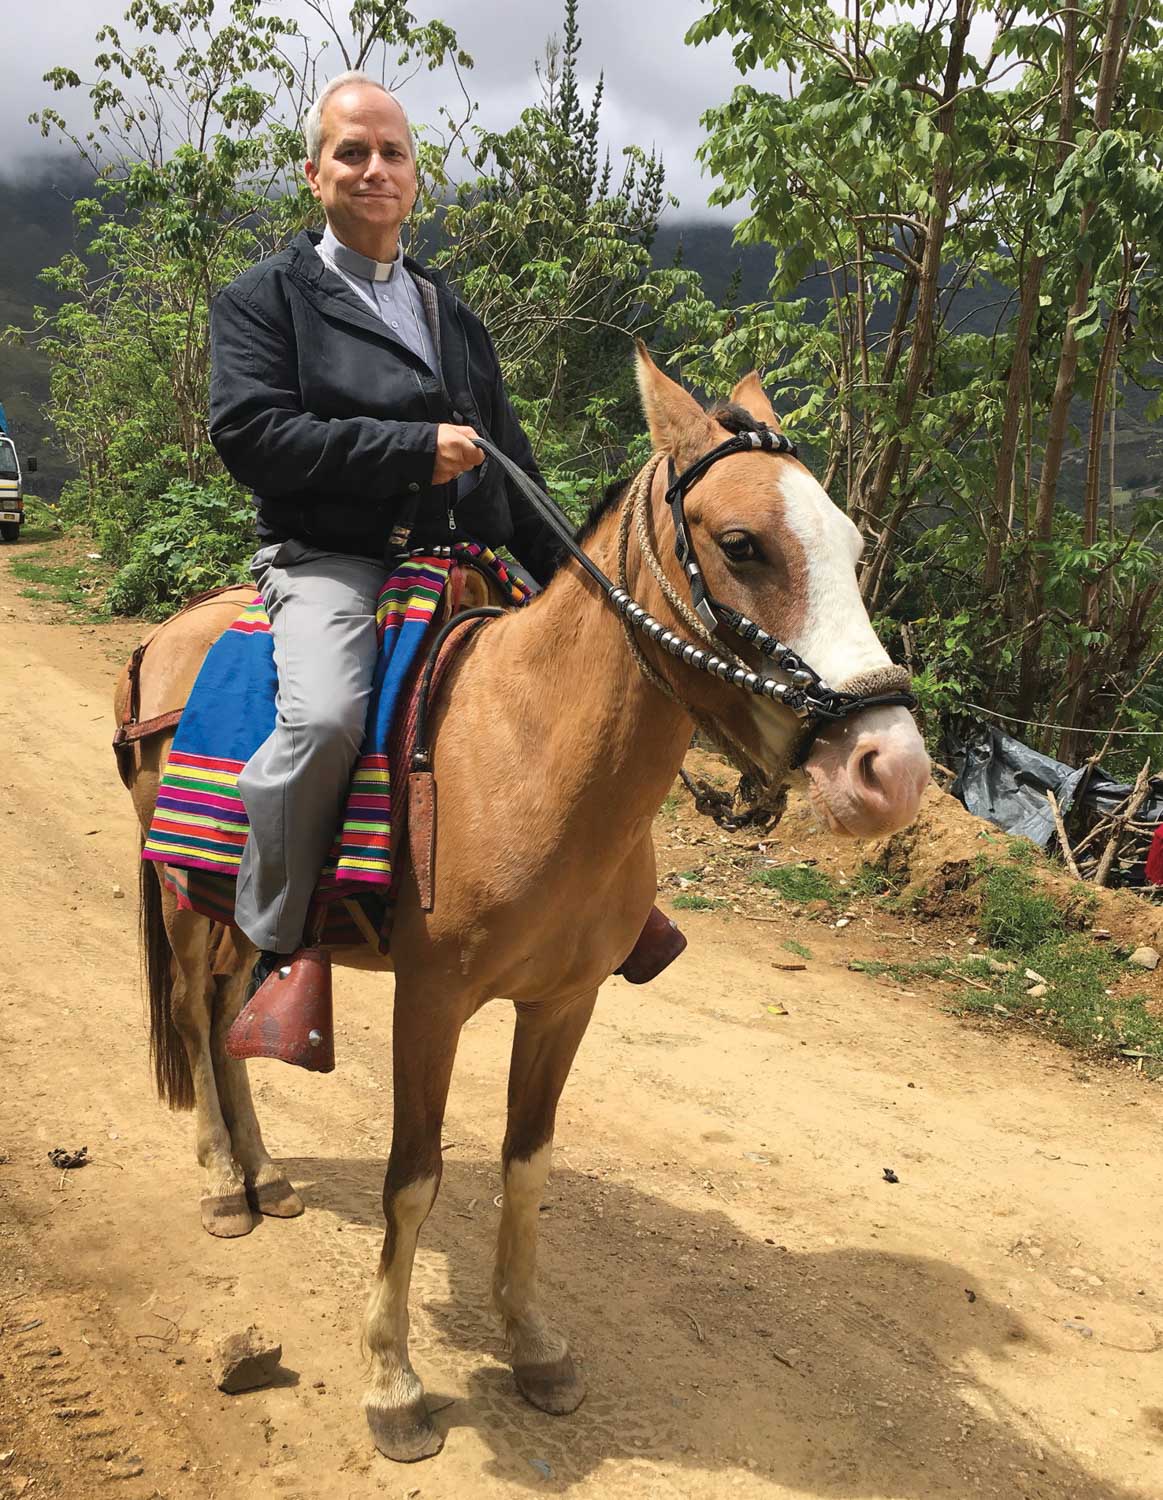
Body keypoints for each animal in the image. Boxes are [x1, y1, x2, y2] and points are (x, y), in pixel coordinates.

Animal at [115, 347, 930, 1462]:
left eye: (849, 545)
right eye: (740, 544)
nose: (890, 770)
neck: (527, 751)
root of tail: (167, 635)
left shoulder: (563, 1004)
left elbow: (526, 1161)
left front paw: (533, 1342)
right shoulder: (429, 1003)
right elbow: (412, 1177)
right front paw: (393, 1380)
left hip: (240, 910)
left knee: (234, 1014)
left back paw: (265, 1175)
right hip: (186, 901)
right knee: (197, 1018)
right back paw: (217, 1182)